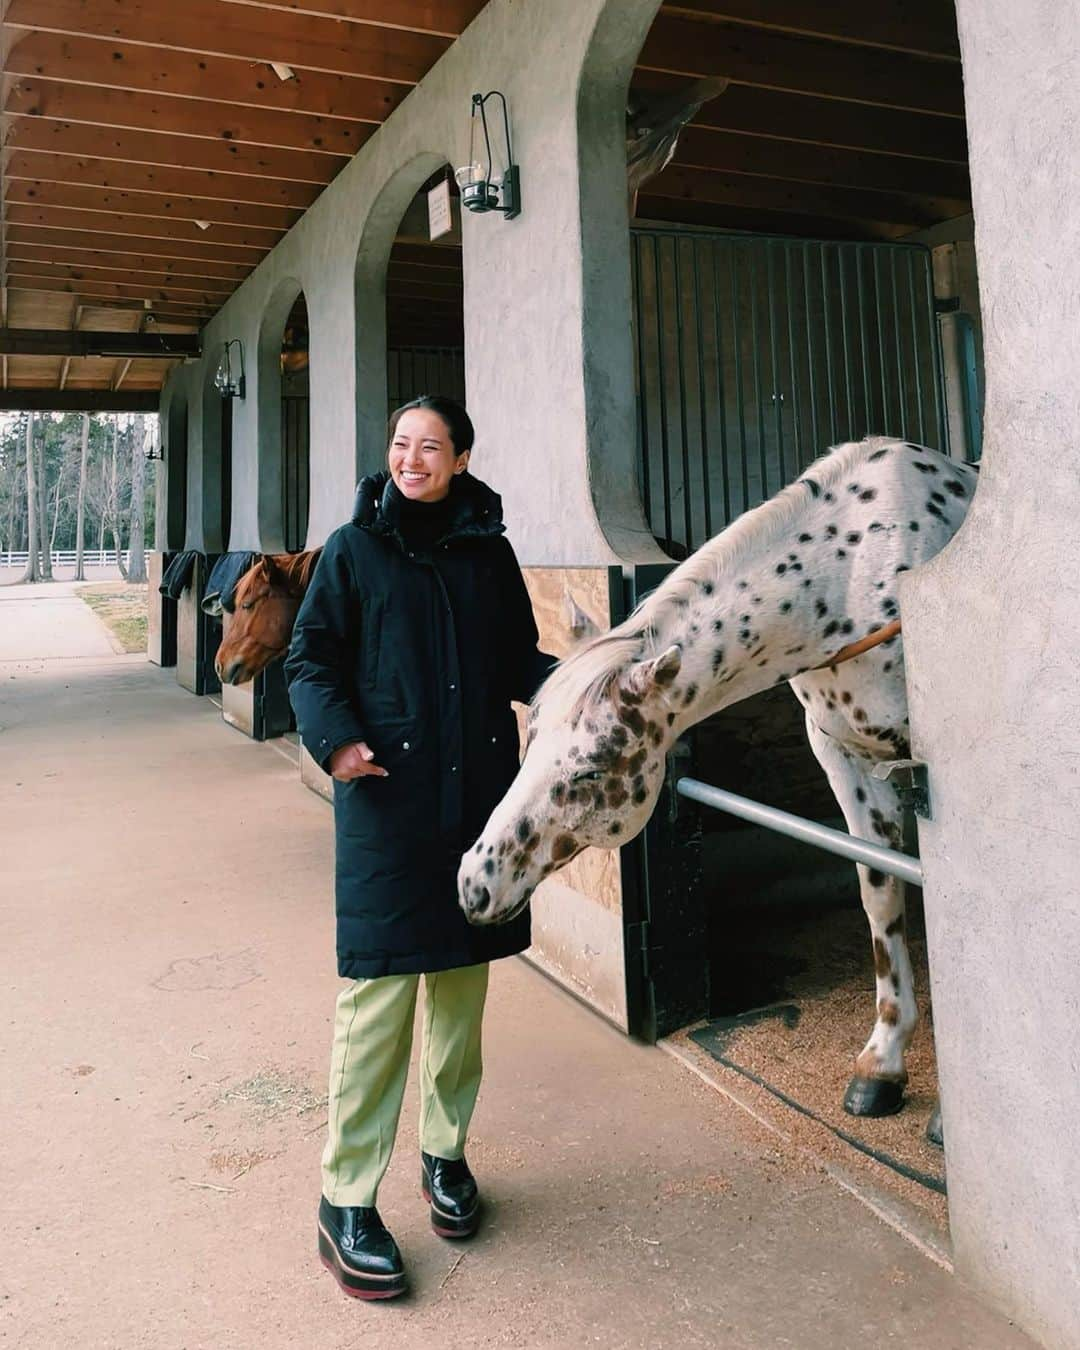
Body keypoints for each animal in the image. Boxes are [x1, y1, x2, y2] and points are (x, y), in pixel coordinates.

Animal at [459, 440, 972, 1117]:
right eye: (530, 738)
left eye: (592, 767)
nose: (474, 884)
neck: (853, 577)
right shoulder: (840, 753)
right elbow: (880, 891)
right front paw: (881, 1065)